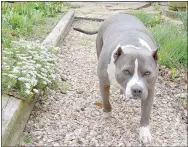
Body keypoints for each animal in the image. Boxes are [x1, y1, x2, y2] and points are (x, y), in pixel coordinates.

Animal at [73, 13, 159, 144]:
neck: (134, 45)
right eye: (126, 71)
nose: (137, 90)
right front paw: (106, 114)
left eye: (147, 73)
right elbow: (105, 100)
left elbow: (145, 112)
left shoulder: (149, 90)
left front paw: (144, 133)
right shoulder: (103, 82)